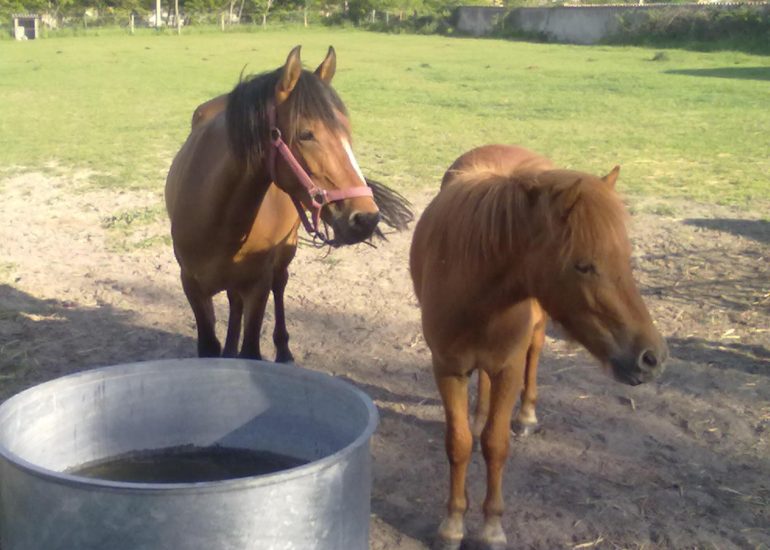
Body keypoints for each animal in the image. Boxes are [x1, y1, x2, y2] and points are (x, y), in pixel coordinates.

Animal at [166, 47, 390, 362]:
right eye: (306, 134)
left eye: (347, 130)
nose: (366, 218)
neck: (217, 217)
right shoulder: (192, 286)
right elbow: (210, 345)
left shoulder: (257, 285)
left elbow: (251, 348)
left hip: (285, 251)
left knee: (279, 284)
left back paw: (283, 349)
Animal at [408, 146, 664, 550]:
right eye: (583, 265)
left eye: (625, 256)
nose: (651, 358)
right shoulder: (448, 368)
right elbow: (459, 444)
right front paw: (452, 525)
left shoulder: (509, 367)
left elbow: (496, 444)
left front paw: (492, 528)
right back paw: (479, 414)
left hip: (538, 331)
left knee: (534, 358)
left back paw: (526, 416)